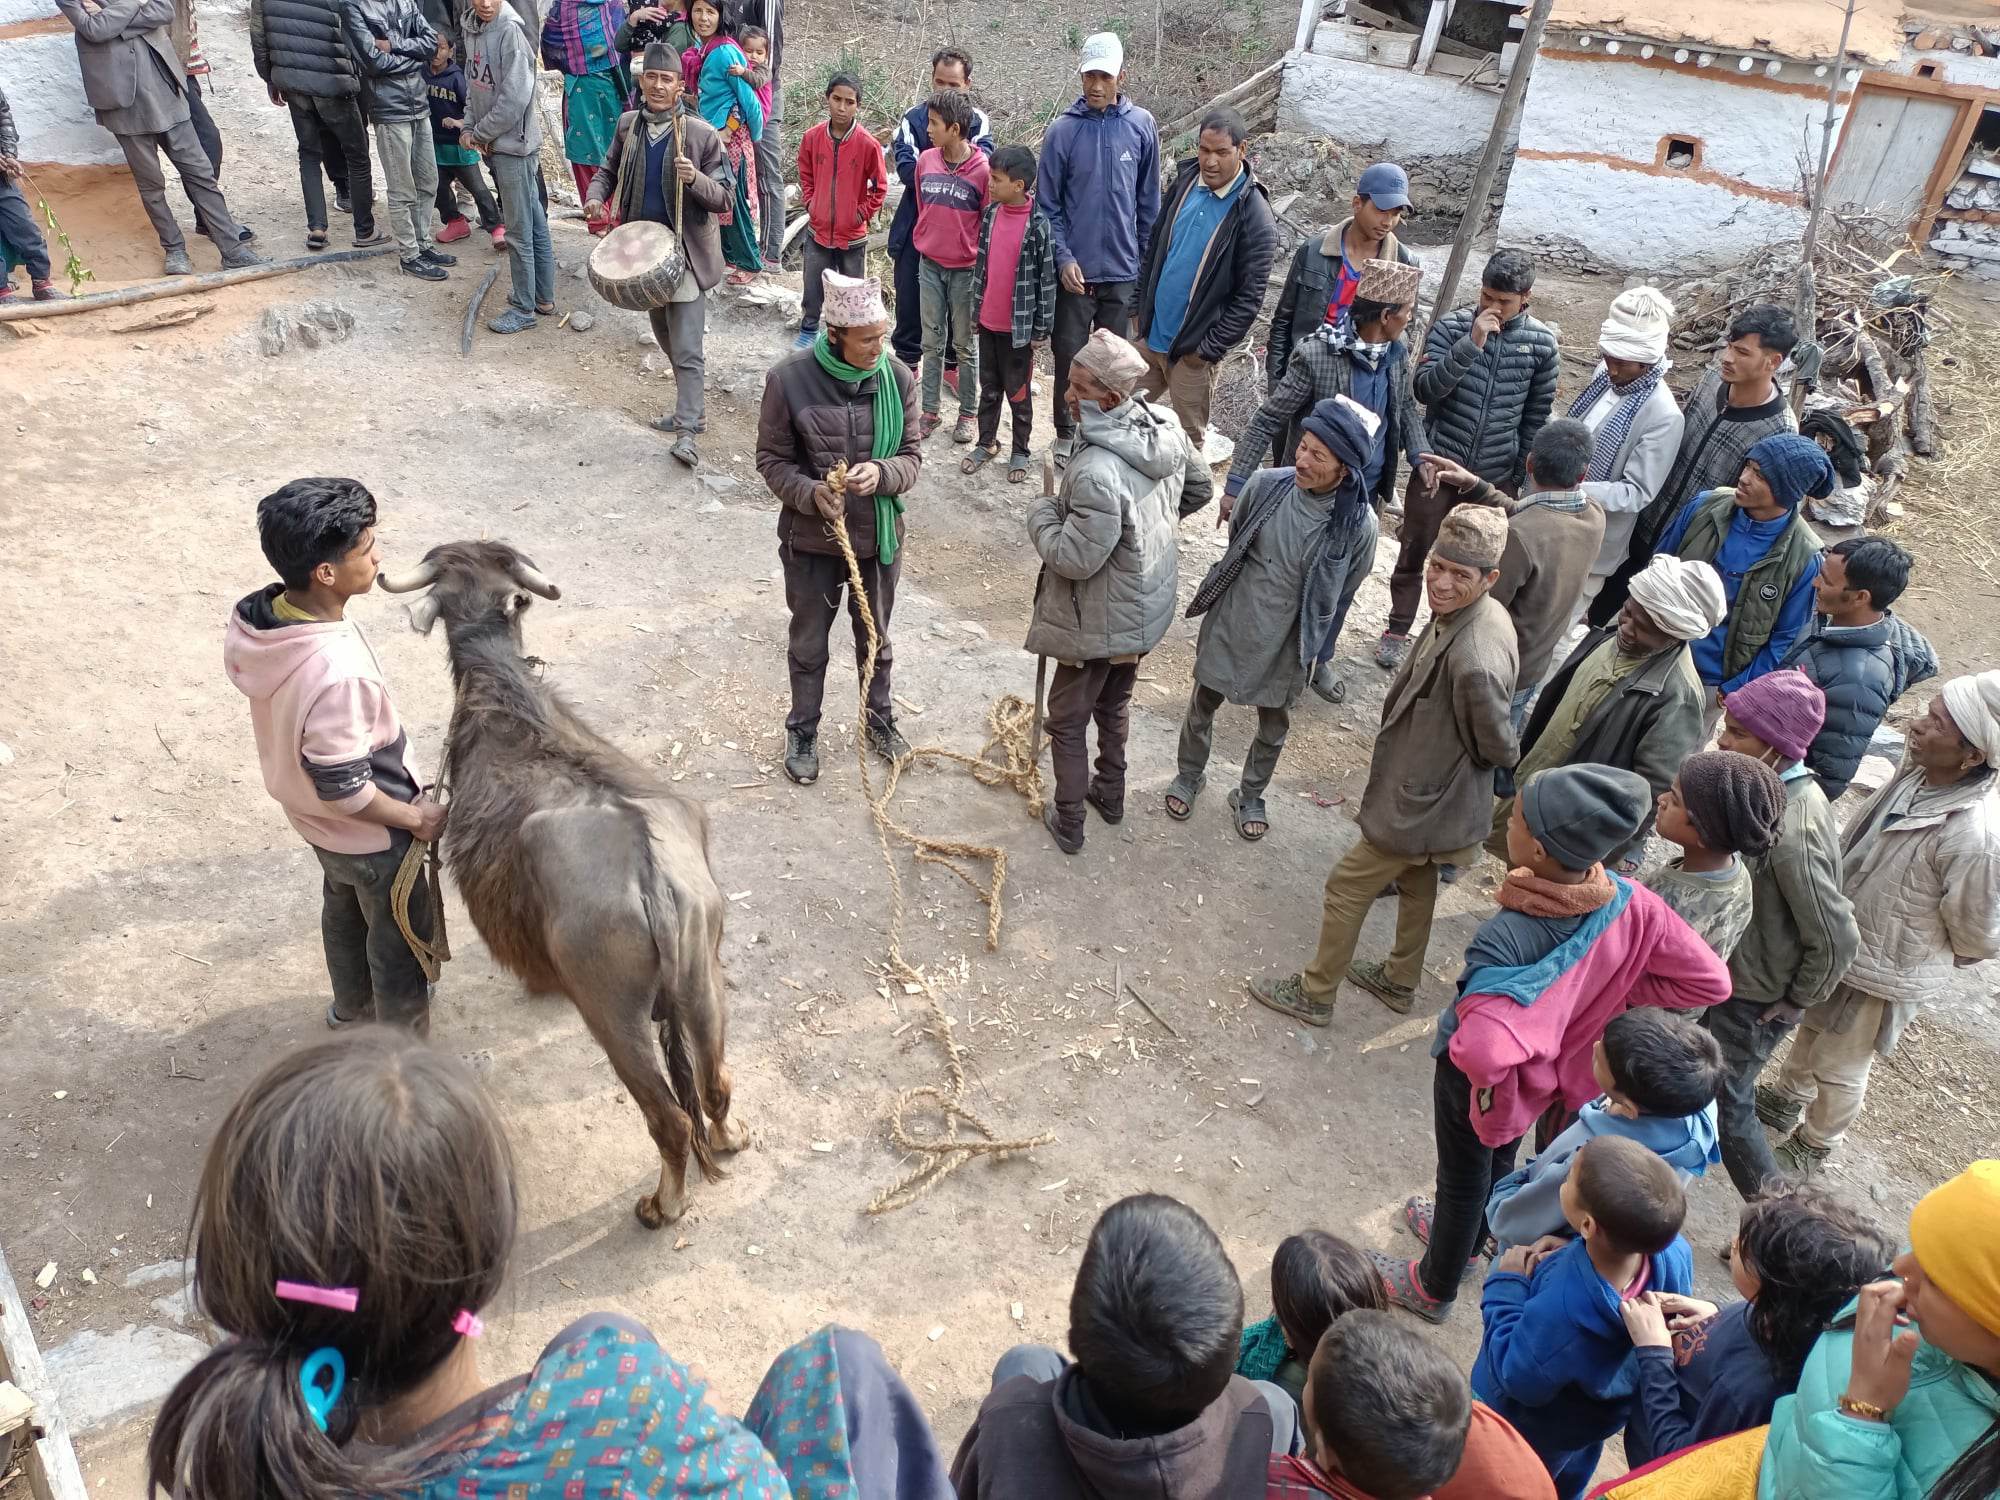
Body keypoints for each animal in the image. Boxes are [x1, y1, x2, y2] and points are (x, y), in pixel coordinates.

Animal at [378, 548, 748, 1224]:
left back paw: (660, 1205)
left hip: (612, 1010)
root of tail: (651, 879)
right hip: (702, 974)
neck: (501, 691)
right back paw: (732, 1138)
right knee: (714, 1082)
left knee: (669, 1120)